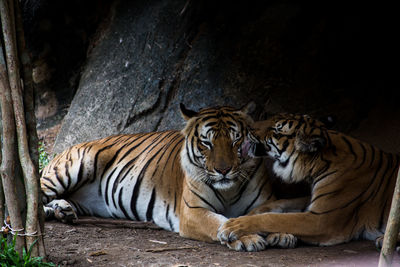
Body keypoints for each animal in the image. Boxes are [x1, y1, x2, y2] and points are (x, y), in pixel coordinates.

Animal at [40, 103, 296, 252]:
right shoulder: (194, 212)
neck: (229, 188)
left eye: (235, 141)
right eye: (207, 143)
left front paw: (283, 234)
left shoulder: (265, 202)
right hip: (69, 170)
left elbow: (272, 216)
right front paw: (249, 238)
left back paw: (63, 211)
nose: (223, 170)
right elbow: (221, 222)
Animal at [217, 113, 400, 249]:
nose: (249, 127)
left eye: (276, 130)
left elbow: (274, 218)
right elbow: (280, 204)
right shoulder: (313, 202)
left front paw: (233, 226)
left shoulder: (322, 219)